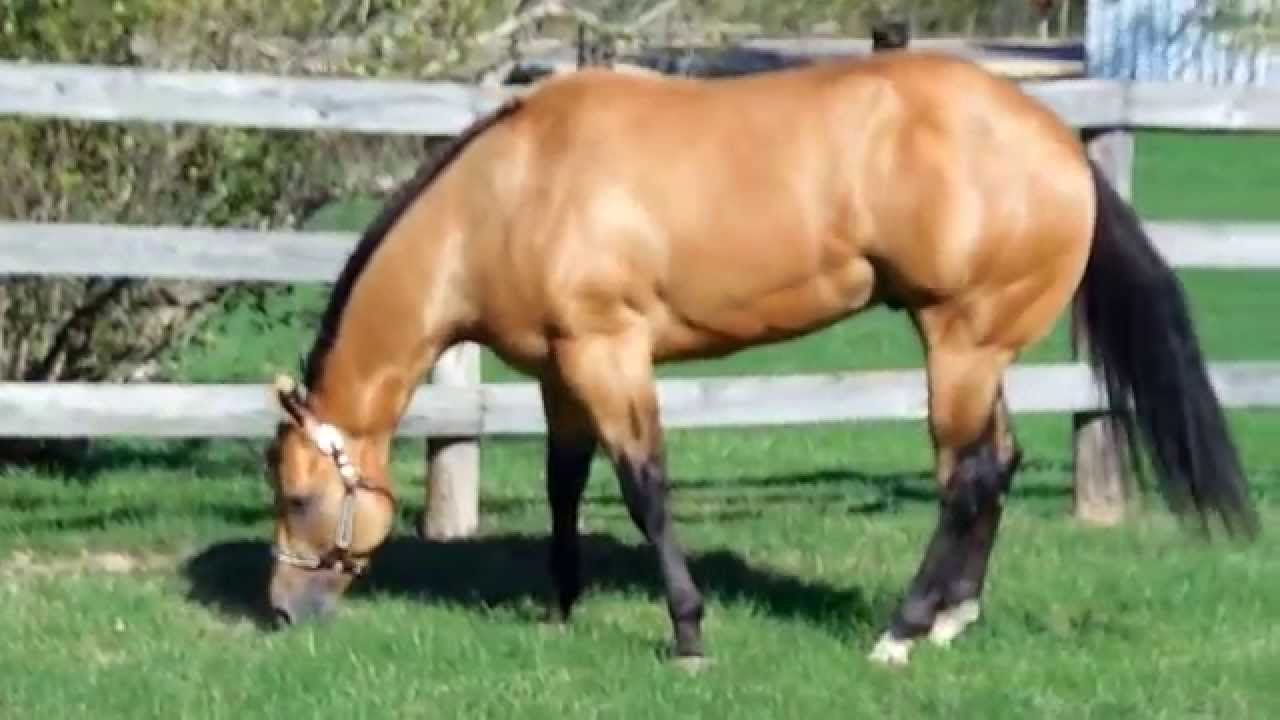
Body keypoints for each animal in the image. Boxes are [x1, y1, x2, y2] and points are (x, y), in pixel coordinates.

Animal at [263, 49, 1257, 667]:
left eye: (302, 499)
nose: (280, 610)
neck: (511, 191)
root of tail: (1060, 145)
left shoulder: (610, 353)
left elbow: (645, 489)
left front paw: (689, 635)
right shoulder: (559, 371)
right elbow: (564, 487)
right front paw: (560, 610)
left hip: (961, 343)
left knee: (966, 477)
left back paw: (900, 634)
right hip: (980, 349)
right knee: (996, 464)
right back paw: (952, 620)